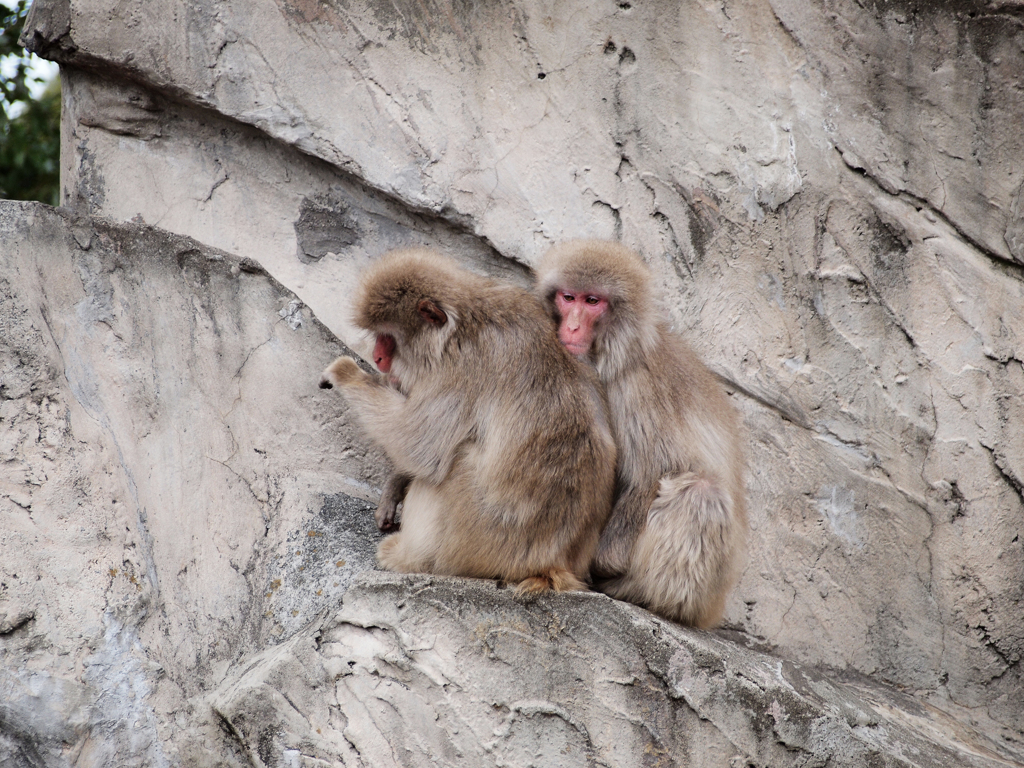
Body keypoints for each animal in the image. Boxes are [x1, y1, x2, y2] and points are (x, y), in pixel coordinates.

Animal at [319, 249, 614, 593]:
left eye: (387, 337)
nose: (378, 359)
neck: (465, 322)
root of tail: (550, 564)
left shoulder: (458, 368)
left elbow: (421, 447)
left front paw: (345, 373)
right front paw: (395, 484)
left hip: (475, 543)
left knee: (455, 461)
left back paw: (409, 556)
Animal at [536, 241, 745, 630]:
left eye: (592, 301)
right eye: (568, 297)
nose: (572, 326)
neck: (613, 350)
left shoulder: (635, 387)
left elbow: (651, 472)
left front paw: (604, 562)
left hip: (705, 593)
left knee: (701, 494)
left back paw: (642, 596)